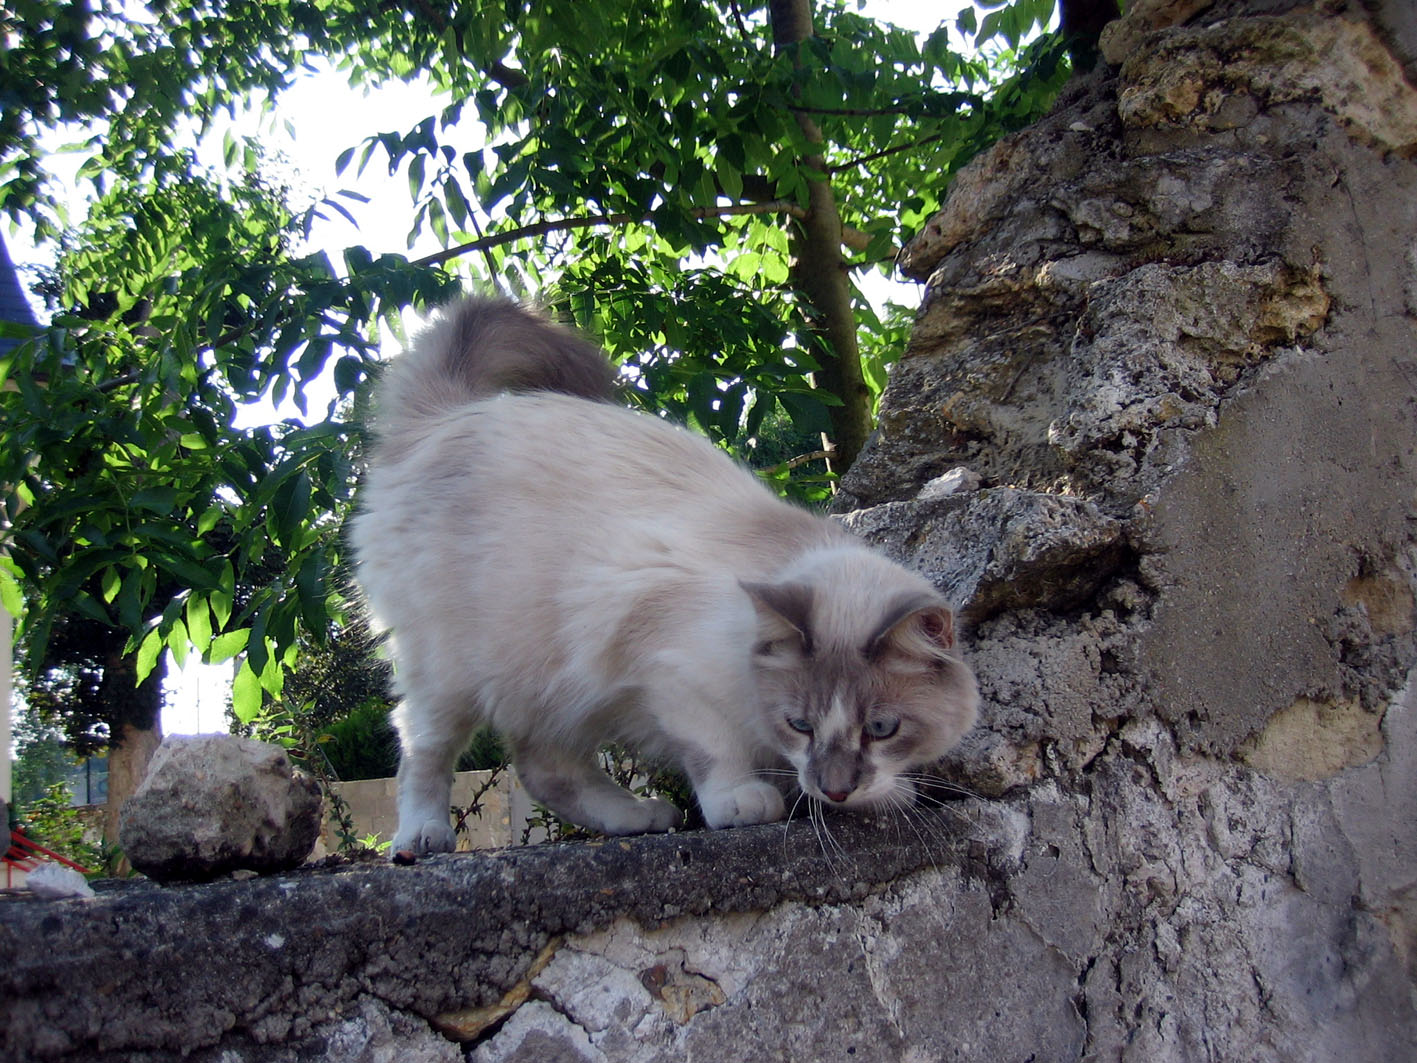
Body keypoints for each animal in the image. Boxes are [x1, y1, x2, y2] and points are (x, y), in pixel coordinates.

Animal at [348, 297, 980, 856]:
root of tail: (449, 415)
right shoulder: (670, 671)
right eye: (799, 724)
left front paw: (880, 795)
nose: (836, 790)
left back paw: (638, 817)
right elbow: (714, 750)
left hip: (554, 681)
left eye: (882, 729)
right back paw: (420, 838)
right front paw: (743, 802)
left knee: (543, 766)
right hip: (453, 671)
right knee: (424, 748)